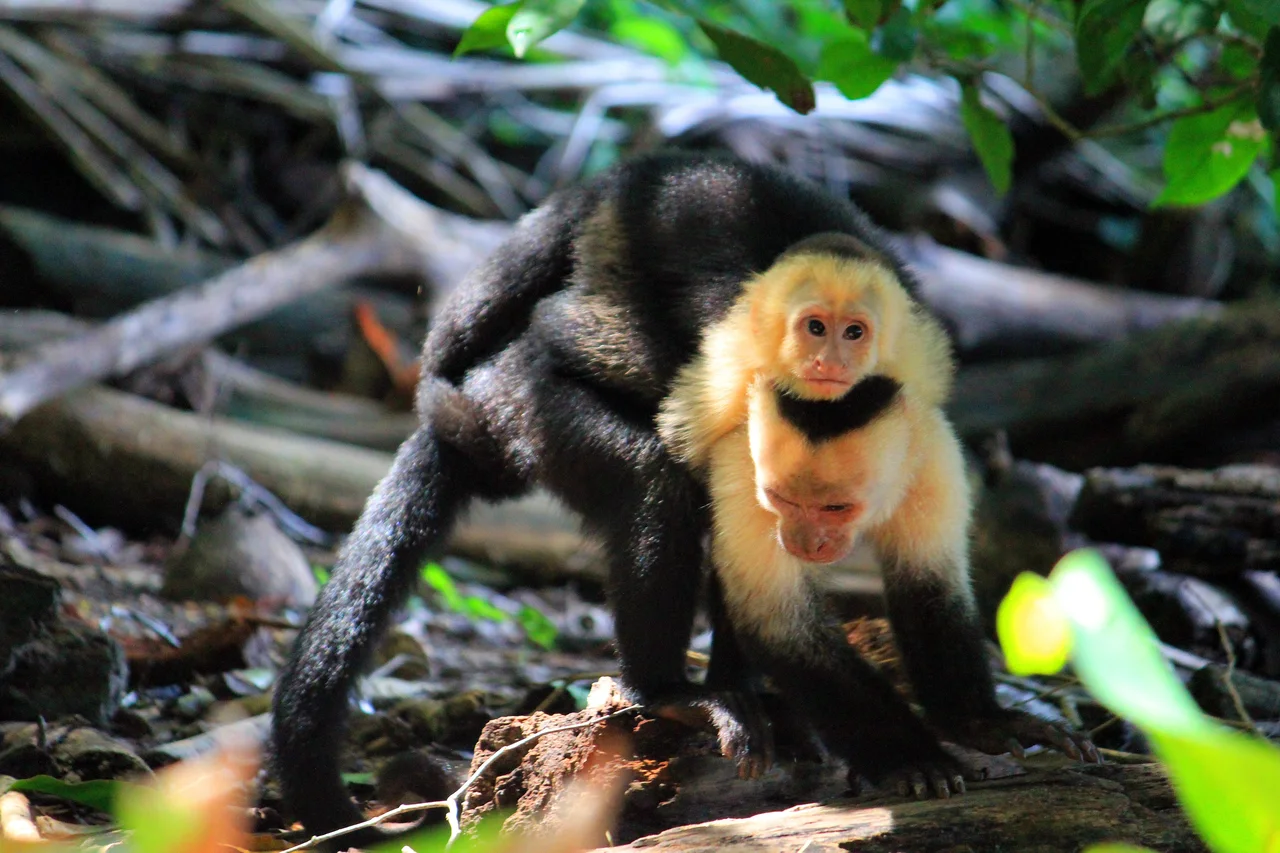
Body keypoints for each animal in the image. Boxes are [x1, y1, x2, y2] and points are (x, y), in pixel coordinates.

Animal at [270, 152, 1094, 846]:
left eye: (834, 511)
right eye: (785, 501)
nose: (807, 541)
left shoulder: (932, 450)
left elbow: (929, 592)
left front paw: (981, 723)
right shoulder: (745, 443)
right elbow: (774, 615)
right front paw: (910, 756)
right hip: (522, 400)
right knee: (650, 475)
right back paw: (671, 691)